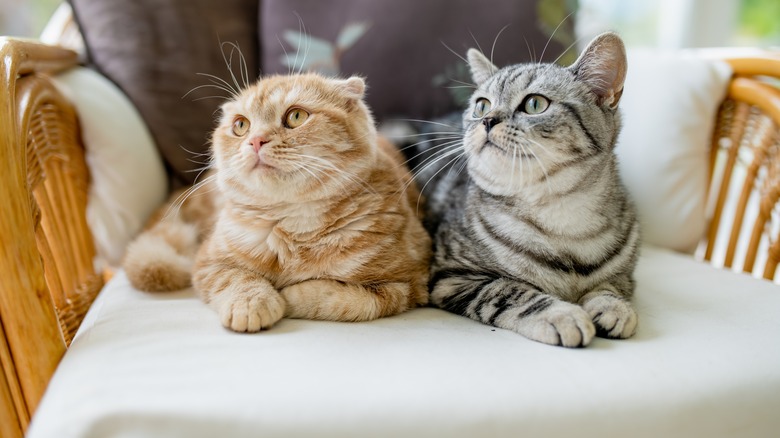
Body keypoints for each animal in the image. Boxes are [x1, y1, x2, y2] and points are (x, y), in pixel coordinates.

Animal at [128, 73, 432, 332]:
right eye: (241, 125)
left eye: (296, 116)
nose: (255, 141)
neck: (292, 230)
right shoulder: (208, 263)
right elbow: (238, 278)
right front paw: (253, 304)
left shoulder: (406, 284)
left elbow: (344, 299)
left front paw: (288, 296)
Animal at [418, 32, 636, 348]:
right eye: (481, 106)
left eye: (534, 104)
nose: (487, 119)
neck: (560, 213)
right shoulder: (452, 275)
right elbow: (508, 291)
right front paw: (560, 314)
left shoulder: (626, 272)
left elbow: (615, 284)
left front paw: (613, 306)